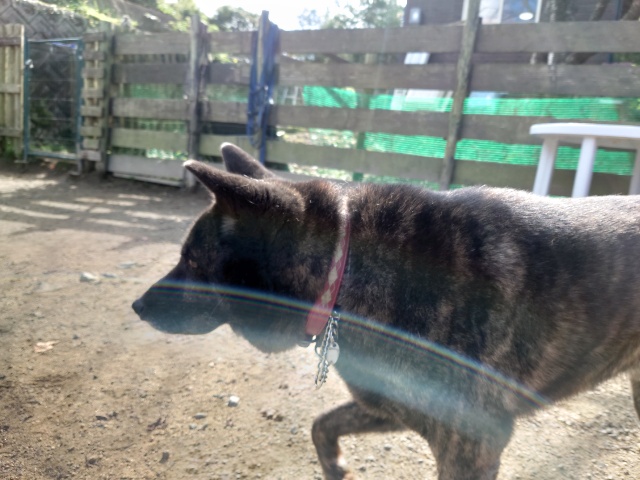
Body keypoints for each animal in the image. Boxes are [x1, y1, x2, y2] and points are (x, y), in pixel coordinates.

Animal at [132, 143, 640, 480]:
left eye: (192, 262)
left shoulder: (473, 447)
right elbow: (322, 424)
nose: (136, 306)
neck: (347, 266)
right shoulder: (387, 405)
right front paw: (334, 467)